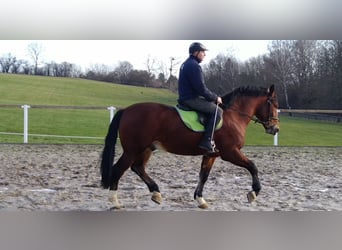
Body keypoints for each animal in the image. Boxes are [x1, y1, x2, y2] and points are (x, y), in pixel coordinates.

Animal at [100, 84, 280, 209]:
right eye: (274, 104)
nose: (275, 129)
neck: (233, 116)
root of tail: (126, 110)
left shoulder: (211, 155)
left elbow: (203, 176)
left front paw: (200, 200)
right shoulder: (230, 152)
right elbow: (252, 166)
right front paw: (253, 192)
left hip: (146, 149)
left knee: (138, 168)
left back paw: (156, 193)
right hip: (132, 150)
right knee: (118, 169)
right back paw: (115, 202)